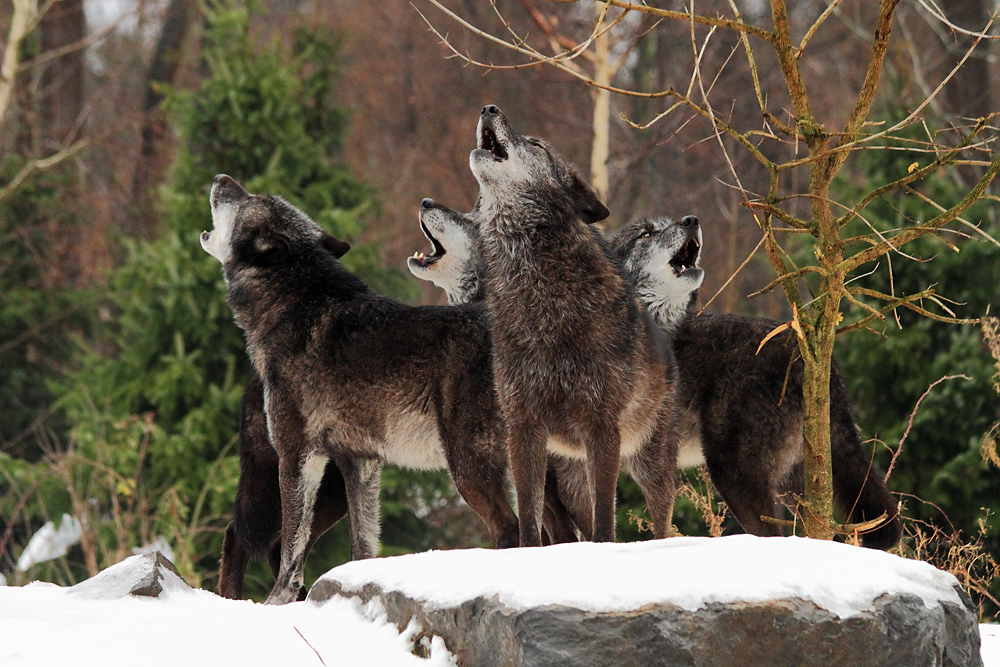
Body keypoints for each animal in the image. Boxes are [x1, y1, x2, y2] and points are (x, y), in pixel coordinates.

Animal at [470, 105, 680, 548]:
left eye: (536, 145)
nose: (489, 108)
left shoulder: (602, 426)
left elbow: (606, 522)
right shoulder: (523, 427)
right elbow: (529, 518)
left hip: (651, 462)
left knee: (662, 521)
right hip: (569, 475)